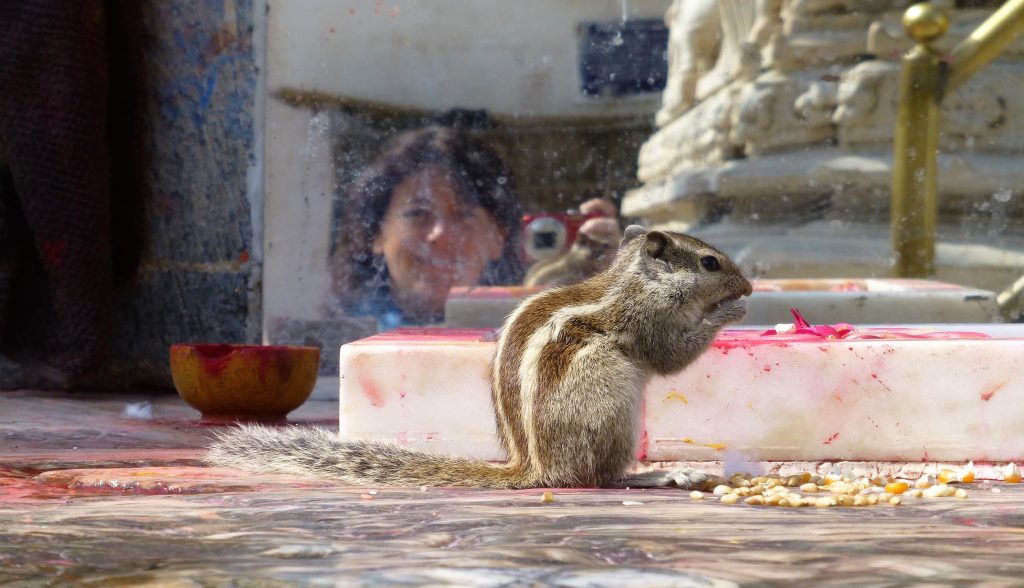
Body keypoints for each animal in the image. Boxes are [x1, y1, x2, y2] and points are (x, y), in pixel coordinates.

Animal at [207, 228, 753, 491]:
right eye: (710, 263)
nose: (748, 286)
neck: (637, 280)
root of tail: (534, 468)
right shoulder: (646, 319)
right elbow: (671, 354)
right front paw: (727, 312)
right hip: (609, 401)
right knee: (597, 477)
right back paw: (660, 473)